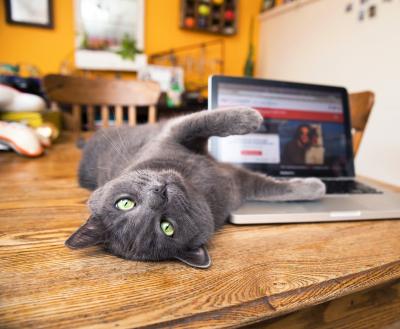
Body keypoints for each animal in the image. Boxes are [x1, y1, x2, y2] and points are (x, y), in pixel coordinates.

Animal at [66, 107, 324, 266]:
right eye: (166, 227)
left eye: (124, 203)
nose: (160, 193)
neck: (197, 182)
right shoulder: (237, 183)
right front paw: (254, 117)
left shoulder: (175, 135)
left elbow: (206, 120)